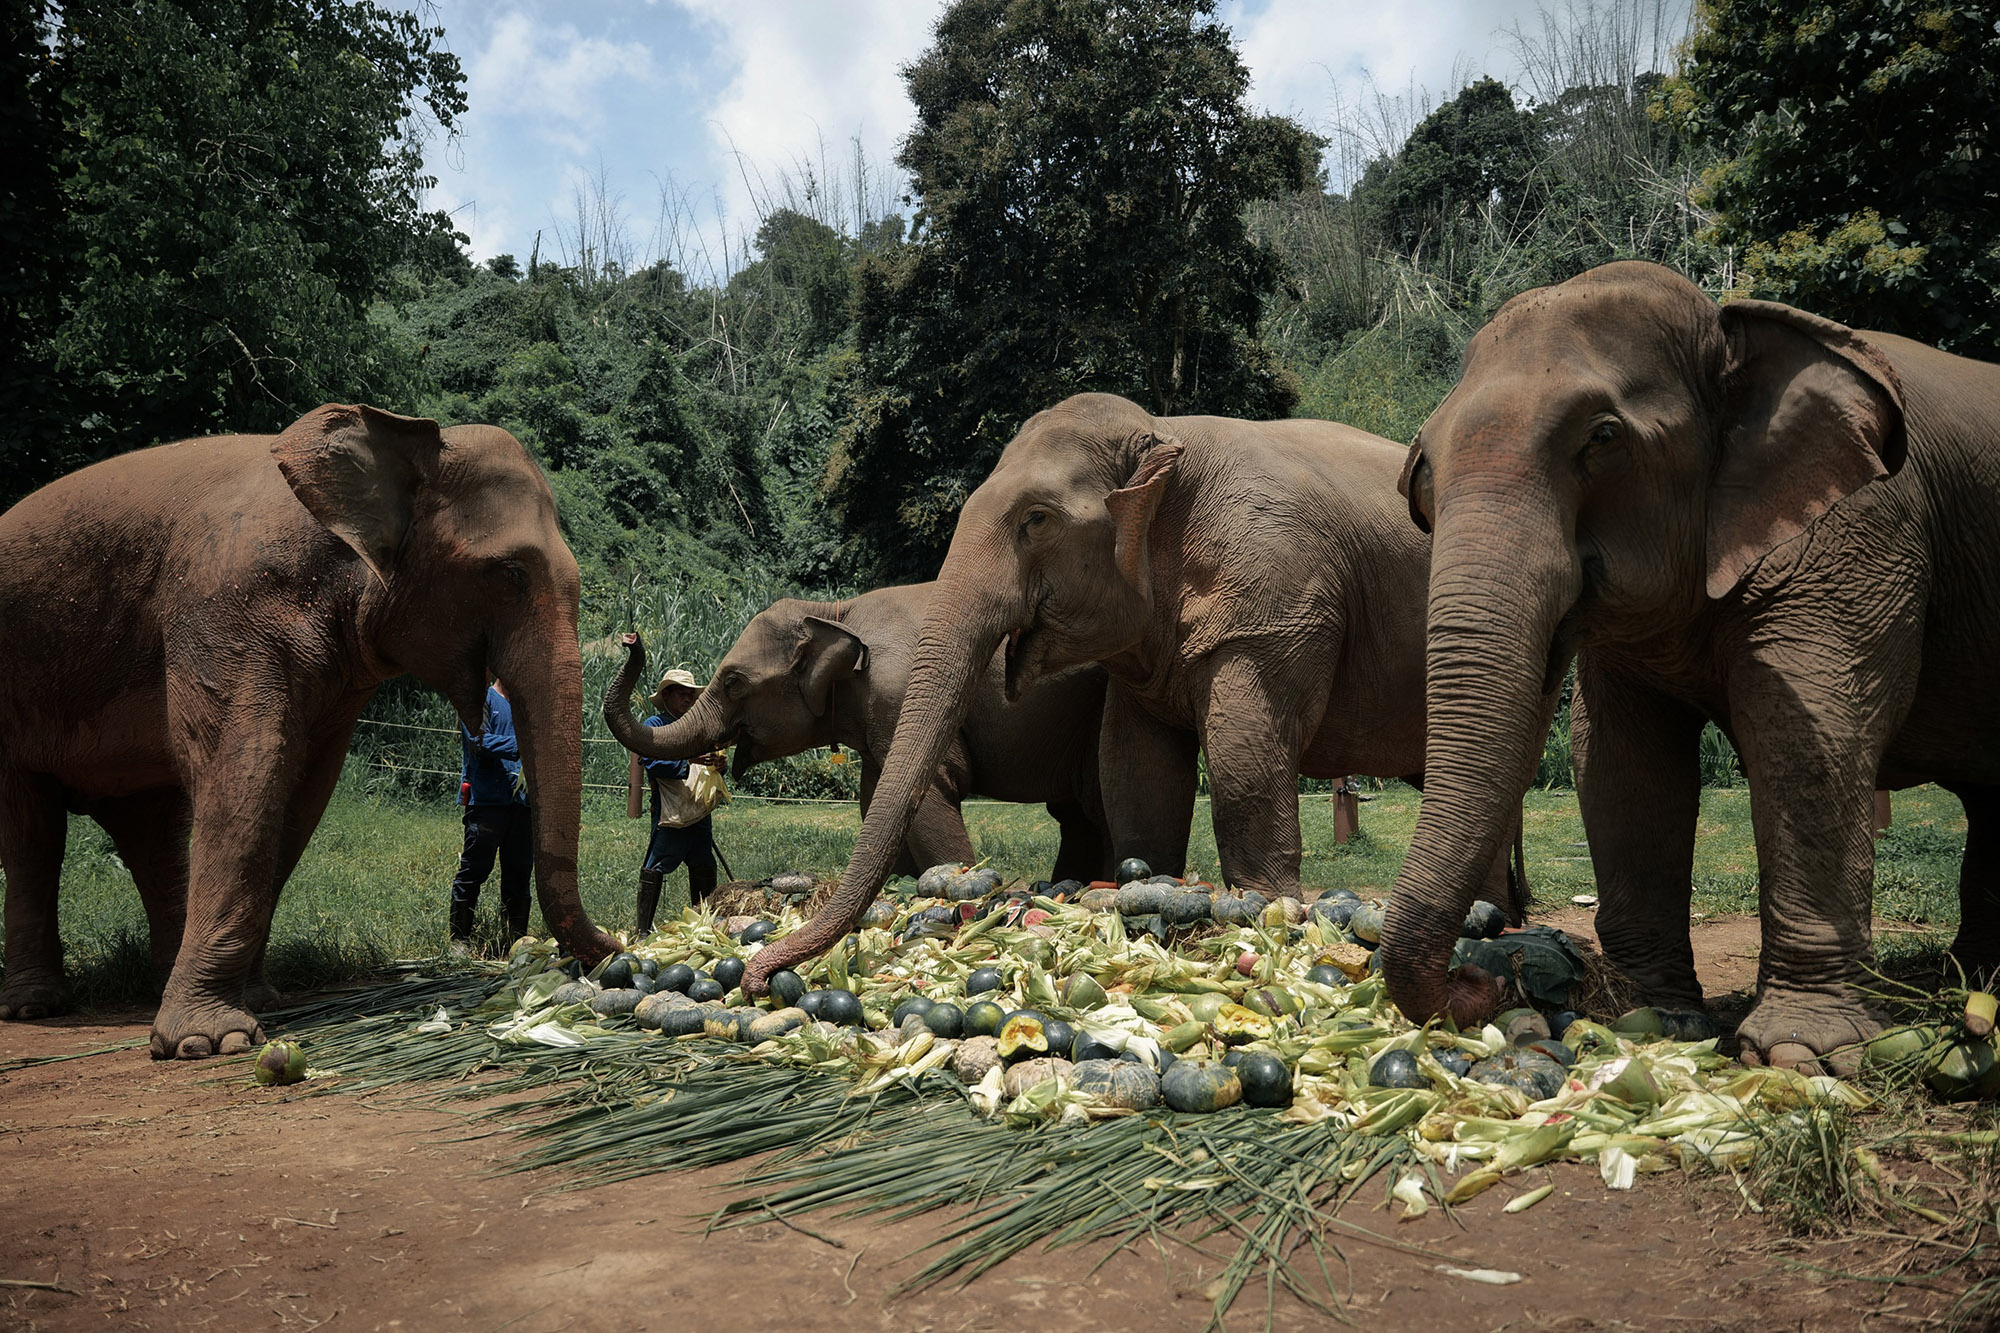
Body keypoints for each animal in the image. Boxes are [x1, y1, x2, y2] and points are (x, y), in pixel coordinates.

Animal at [0, 403, 619, 1058]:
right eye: (509, 573)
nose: (615, 950)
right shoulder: (225, 610)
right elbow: (246, 769)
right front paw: (210, 1042)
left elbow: (303, 789)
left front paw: (256, 1002)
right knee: (34, 832)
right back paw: (37, 1006)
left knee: (149, 832)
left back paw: (159, 981)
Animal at [603, 583, 1112, 885]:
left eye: (732, 682)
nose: (631, 637)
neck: (836, 611)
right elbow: (875, 801)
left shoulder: (900, 694)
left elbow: (927, 800)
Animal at [746, 391, 1522, 993]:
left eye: (1036, 519)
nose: (757, 976)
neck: (1163, 434)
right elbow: (1138, 773)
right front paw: (1147, 890)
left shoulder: (1276, 603)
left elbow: (1244, 761)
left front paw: (1263, 915)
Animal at [1378, 259, 2000, 1071]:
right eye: (1425, 467)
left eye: (1603, 436)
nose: (1490, 976)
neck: (1728, 327)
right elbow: (1622, 761)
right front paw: (1654, 1017)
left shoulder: (1861, 538)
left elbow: (1808, 735)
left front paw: (1804, 1054)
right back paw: (1975, 985)